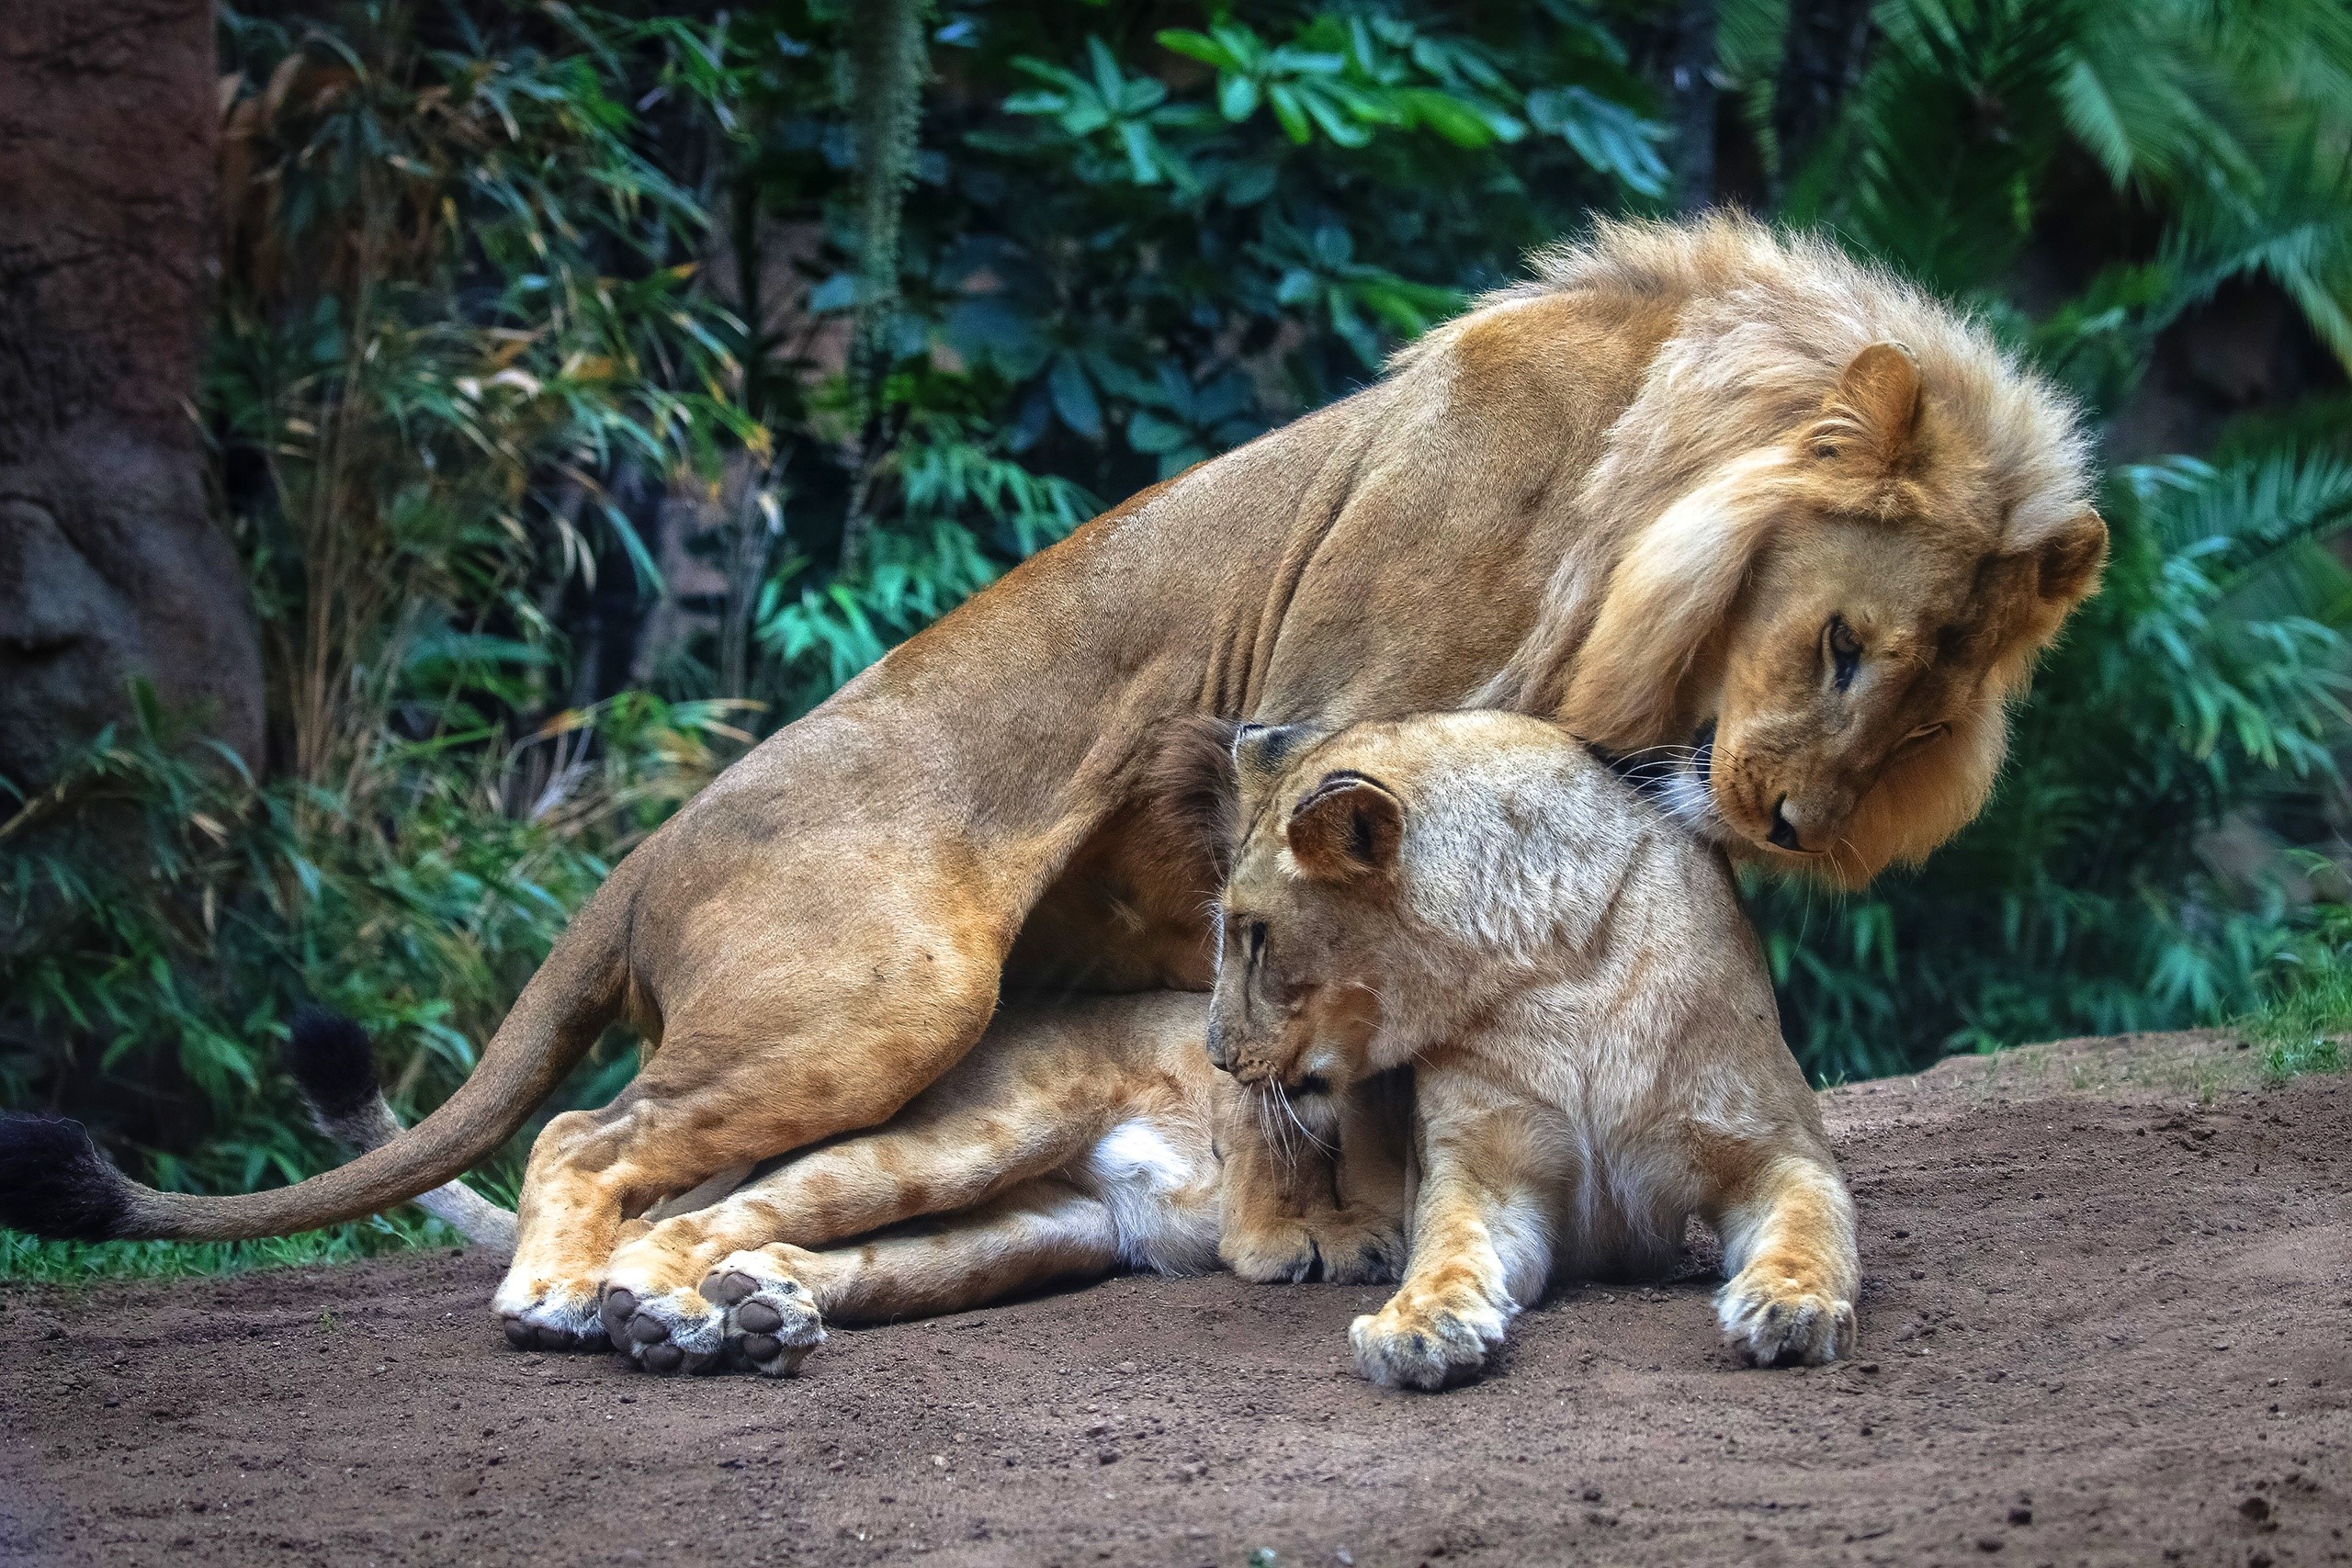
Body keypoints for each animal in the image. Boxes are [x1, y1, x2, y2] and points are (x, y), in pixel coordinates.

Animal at [1208, 712, 1859, 1389]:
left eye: (1257, 935)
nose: (1218, 1056)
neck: (1559, 969)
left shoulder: (1776, 1147)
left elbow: (1808, 1227)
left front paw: (1790, 1306)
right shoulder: (1484, 1170)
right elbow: (1447, 1250)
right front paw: (1418, 1326)